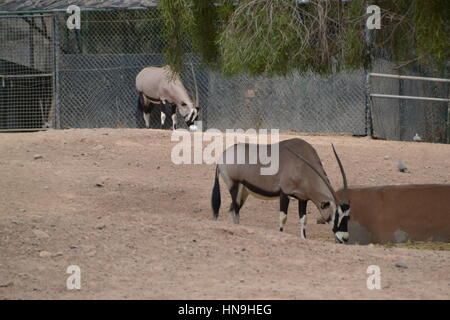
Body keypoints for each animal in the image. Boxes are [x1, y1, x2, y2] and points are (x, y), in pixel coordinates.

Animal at [212, 138, 352, 242]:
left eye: (348, 216)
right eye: (336, 215)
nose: (345, 238)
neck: (302, 166)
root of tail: (223, 156)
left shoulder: (303, 198)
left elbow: (303, 219)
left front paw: (303, 238)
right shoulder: (284, 193)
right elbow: (283, 217)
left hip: (244, 192)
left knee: (232, 209)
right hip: (233, 186)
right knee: (235, 210)